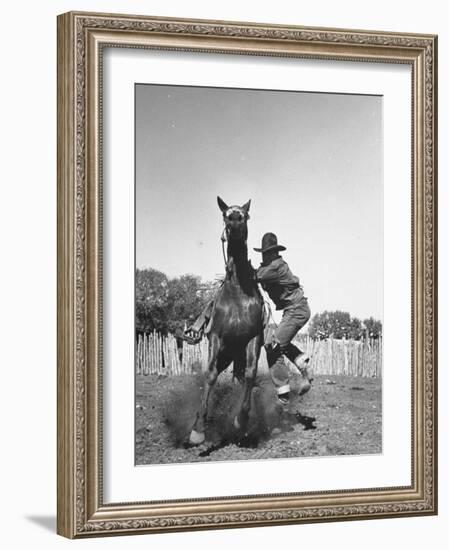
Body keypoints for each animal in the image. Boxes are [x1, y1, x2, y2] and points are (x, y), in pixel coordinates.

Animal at [188, 196, 264, 446]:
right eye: (224, 214)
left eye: (246, 214)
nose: (235, 219)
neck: (238, 292)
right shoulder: (216, 337)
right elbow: (210, 375)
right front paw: (198, 430)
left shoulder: (253, 338)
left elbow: (250, 374)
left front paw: (241, 420)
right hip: (224, 353)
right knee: (212, 375)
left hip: (235, 355)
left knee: (241, 377)